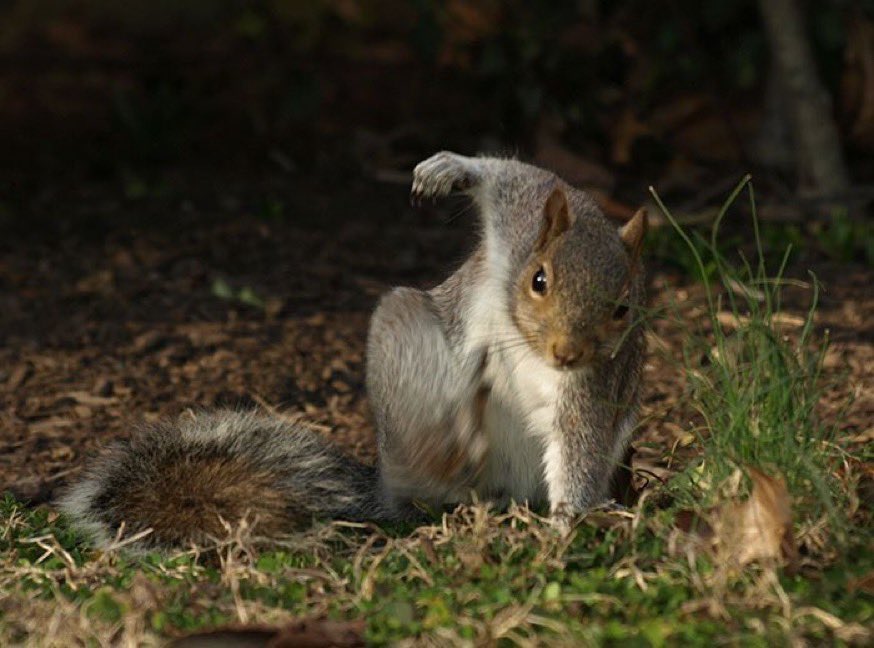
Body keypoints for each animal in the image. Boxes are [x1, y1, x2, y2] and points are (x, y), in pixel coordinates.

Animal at [58, 151, 647, 551]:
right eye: (538, 279)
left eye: (624, 308)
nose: (567, 352)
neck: (527, 340)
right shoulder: (520, 219)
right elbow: (511, 176)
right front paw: (449, 170)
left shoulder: (594, 385)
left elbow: (580, 446)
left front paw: (568, 524)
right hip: (401, 338)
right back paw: (447, 446)